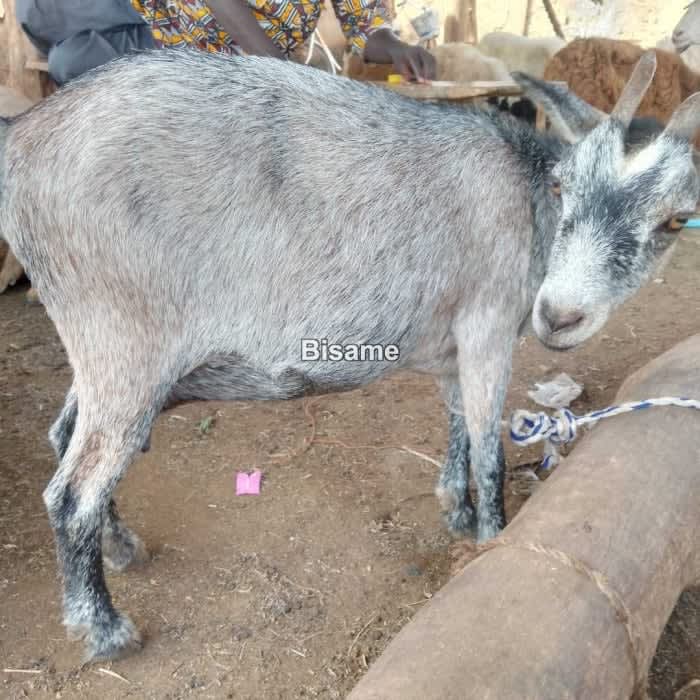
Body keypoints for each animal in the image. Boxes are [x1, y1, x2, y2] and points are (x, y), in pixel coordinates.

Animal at [1, 49, 698, 662]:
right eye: (562, 187)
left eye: (675, 221)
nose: (559, 314)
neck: (526, 196)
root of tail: (23, 137)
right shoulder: (490, 323)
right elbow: (489, 448)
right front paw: (492, 536)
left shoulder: (456, 341)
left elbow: (457, 424)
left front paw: (455, 507)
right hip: (122, 340)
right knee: (73, 492)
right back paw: (105, 629)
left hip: (109, 354)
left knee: (65, 437)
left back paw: (120, 546)